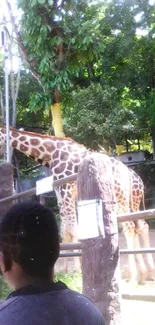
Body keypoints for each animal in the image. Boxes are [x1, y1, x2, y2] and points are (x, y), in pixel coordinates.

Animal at [0, 126, 154, 280]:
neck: (50, 153)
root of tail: (138, 181)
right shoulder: (61, 192)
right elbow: (65, 230)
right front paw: (66, 268)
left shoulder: (66, 189)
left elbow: (72, 229)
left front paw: (75, 269)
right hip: (132, 203)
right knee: (141, 226)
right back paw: (146, 272)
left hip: (121, 199)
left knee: (129, 227)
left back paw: (134, 275)